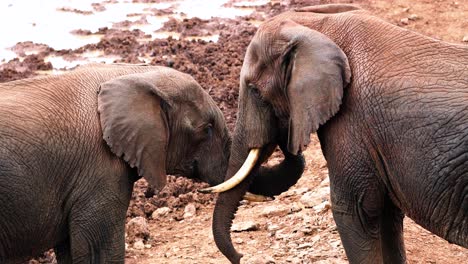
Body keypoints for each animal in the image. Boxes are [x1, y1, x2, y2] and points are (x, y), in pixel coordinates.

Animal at [203, 4, 468, 264]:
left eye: (255, 91)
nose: (241, 256)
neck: (316, 25)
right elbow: (387, 215)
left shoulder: (351, 123)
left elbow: (353, 210)